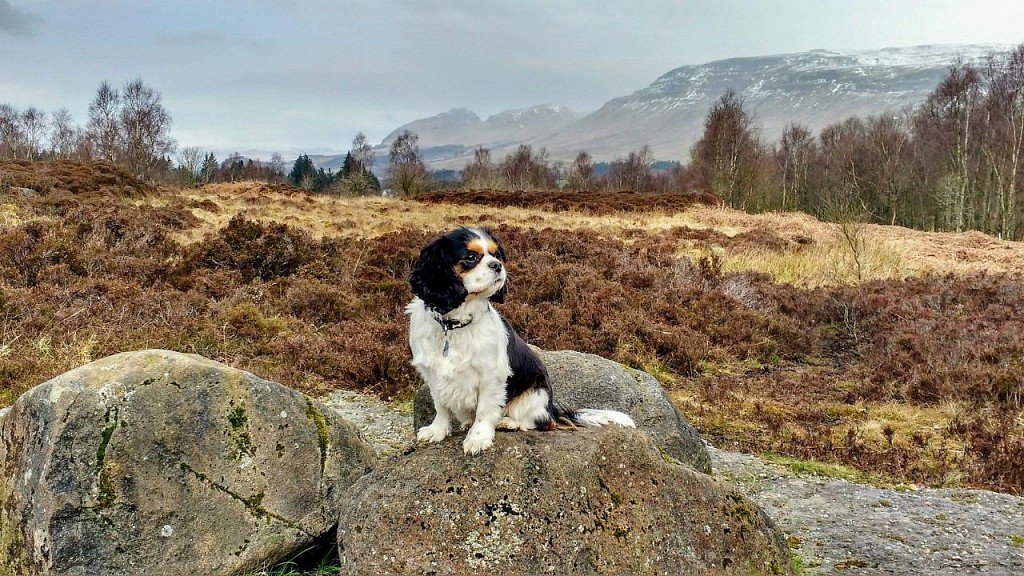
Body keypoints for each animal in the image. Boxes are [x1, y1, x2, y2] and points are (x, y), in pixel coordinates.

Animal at [405, 225, 630, 453]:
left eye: (496, 254)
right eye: (471, 257)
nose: (498, 266)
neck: (453, 326)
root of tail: (552, 407)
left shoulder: (491, 375)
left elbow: (484, 410)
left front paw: (478, 438)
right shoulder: (433, 374)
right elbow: (440, 405)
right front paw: (437, 430)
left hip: (535, 394)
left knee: (543, 422)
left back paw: (510, 422)